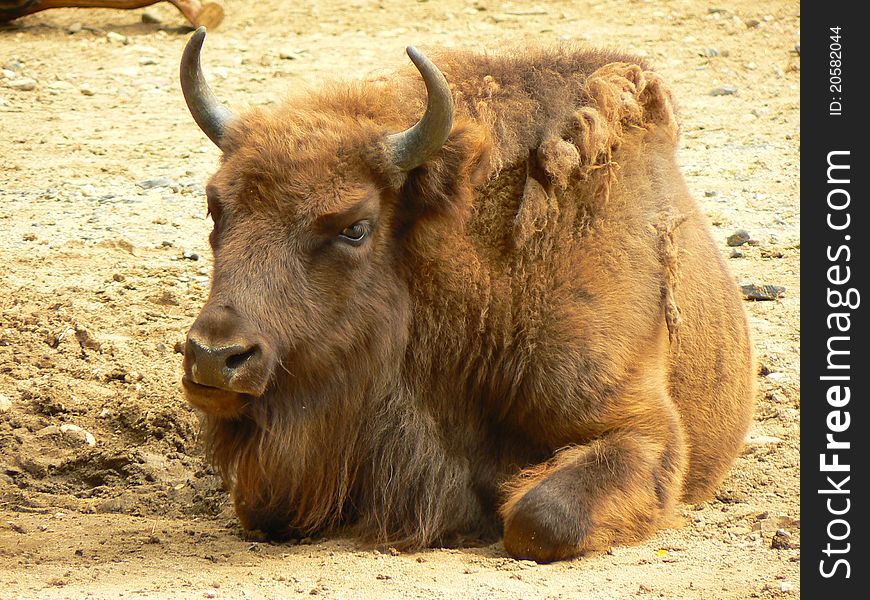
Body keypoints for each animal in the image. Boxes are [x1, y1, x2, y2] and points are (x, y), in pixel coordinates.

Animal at [179, 28, 756, 564]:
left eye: (355, 227)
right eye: (214, 206)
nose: (213, 356)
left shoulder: (640, 427)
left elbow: (540, 518)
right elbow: (264, 506)